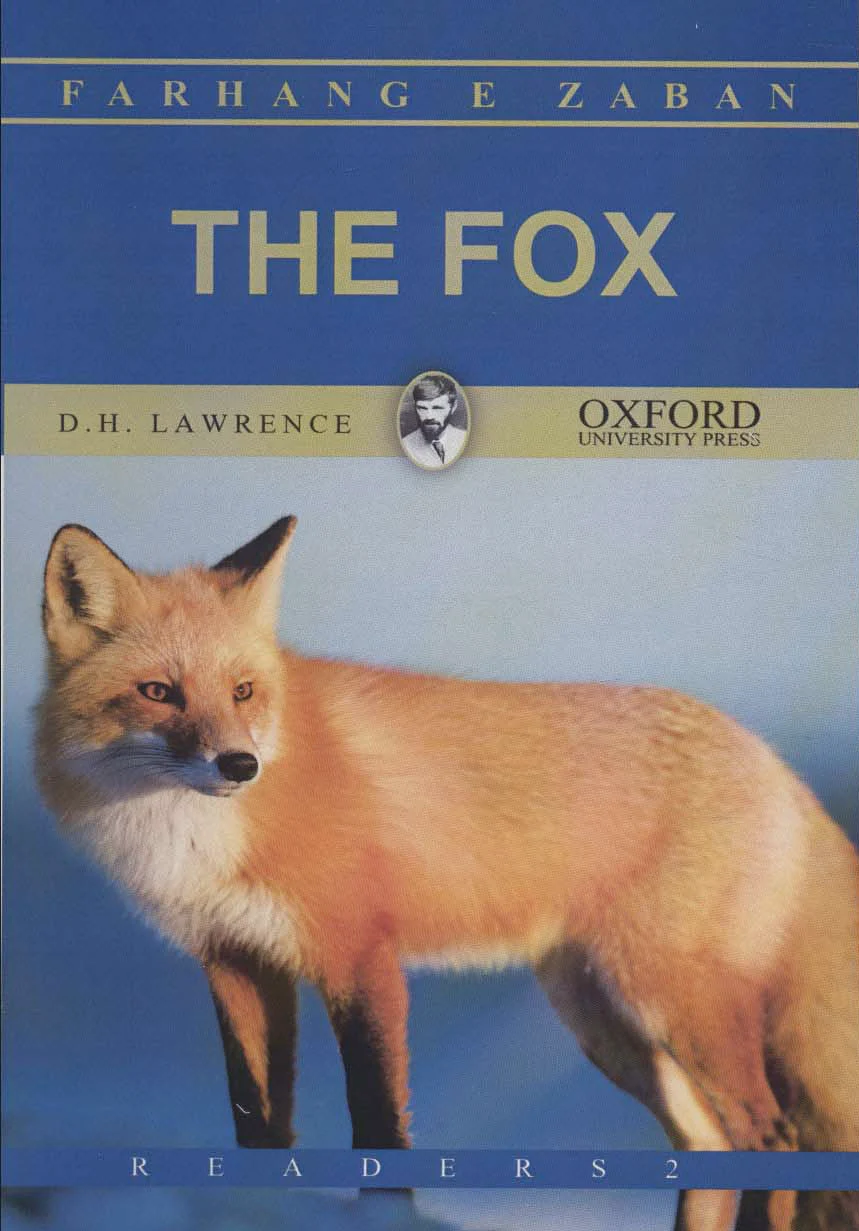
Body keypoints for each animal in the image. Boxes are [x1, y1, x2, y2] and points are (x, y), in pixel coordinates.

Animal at [36, 517, 859, 1231]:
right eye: (157, 692)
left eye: (242, 691)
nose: (240, 764)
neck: (203, 836)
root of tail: (768, 757)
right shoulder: (237, 963)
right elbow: (257, 1125)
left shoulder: (360, 956)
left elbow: (377, 1123)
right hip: (606, 1021)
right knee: (707, 1145)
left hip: (669, 999)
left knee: (772, 1135)